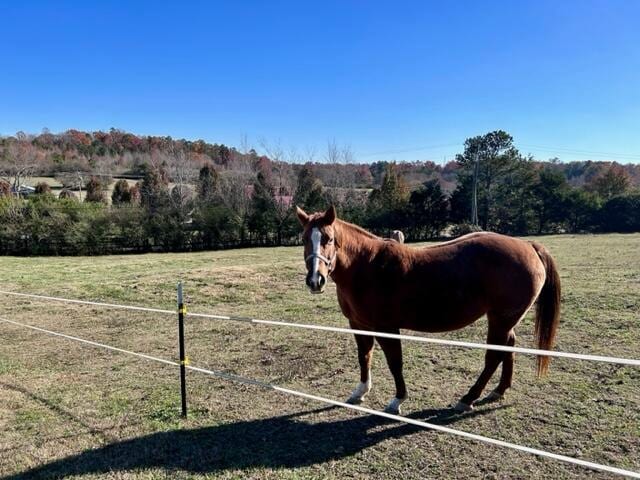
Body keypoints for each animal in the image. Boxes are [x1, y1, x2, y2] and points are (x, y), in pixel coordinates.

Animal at [296, 205, 560, 412]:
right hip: (505, 320)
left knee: (494, 356)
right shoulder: (358, 324)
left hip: (500, 320)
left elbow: (395, 362)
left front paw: (397, 400)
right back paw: (499, 390)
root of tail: (528, 246)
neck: (367, 265)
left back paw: (468, 398)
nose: (315, 280)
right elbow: (364, 357)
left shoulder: (386, 327)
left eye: (329, 239)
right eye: (305, 239)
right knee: (508, 348)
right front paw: (360, 391)